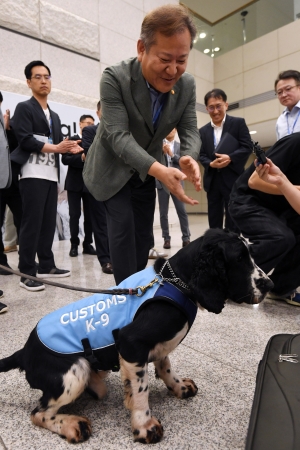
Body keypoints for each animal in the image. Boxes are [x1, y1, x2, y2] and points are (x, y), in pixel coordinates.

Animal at [0, 230, 272, 444]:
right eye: (239, 259)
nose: (269, 284)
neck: (174, 281)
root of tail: (23, 352)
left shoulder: (157, 347)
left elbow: (165, 365)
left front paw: (179, 386)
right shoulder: (131, 343)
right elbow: (141, 389)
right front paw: (145, 426)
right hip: (73, 370)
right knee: (39, 412)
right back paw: (72, 424)